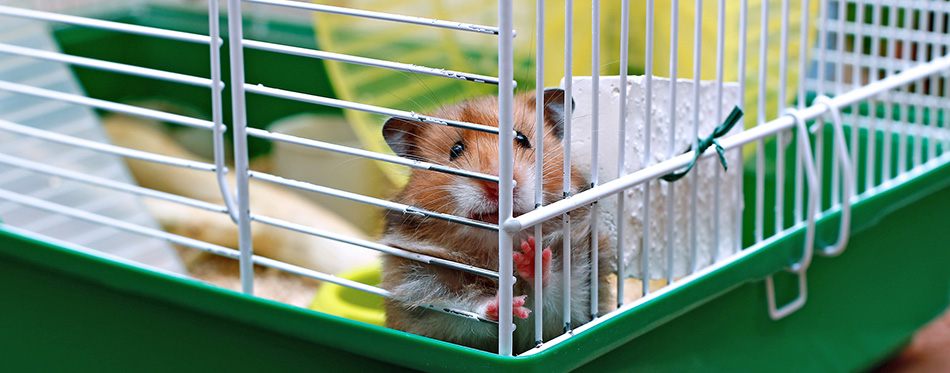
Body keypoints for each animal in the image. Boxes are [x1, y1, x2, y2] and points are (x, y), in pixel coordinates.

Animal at [380, 87, 616, 352]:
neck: (495, 249)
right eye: (455, 150)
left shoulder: (579, 287)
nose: (496, 185)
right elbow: (464, 307)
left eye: (522, 139)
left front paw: (531, 255)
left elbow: (553, 292)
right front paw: (505, 304)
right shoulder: (421, 290)